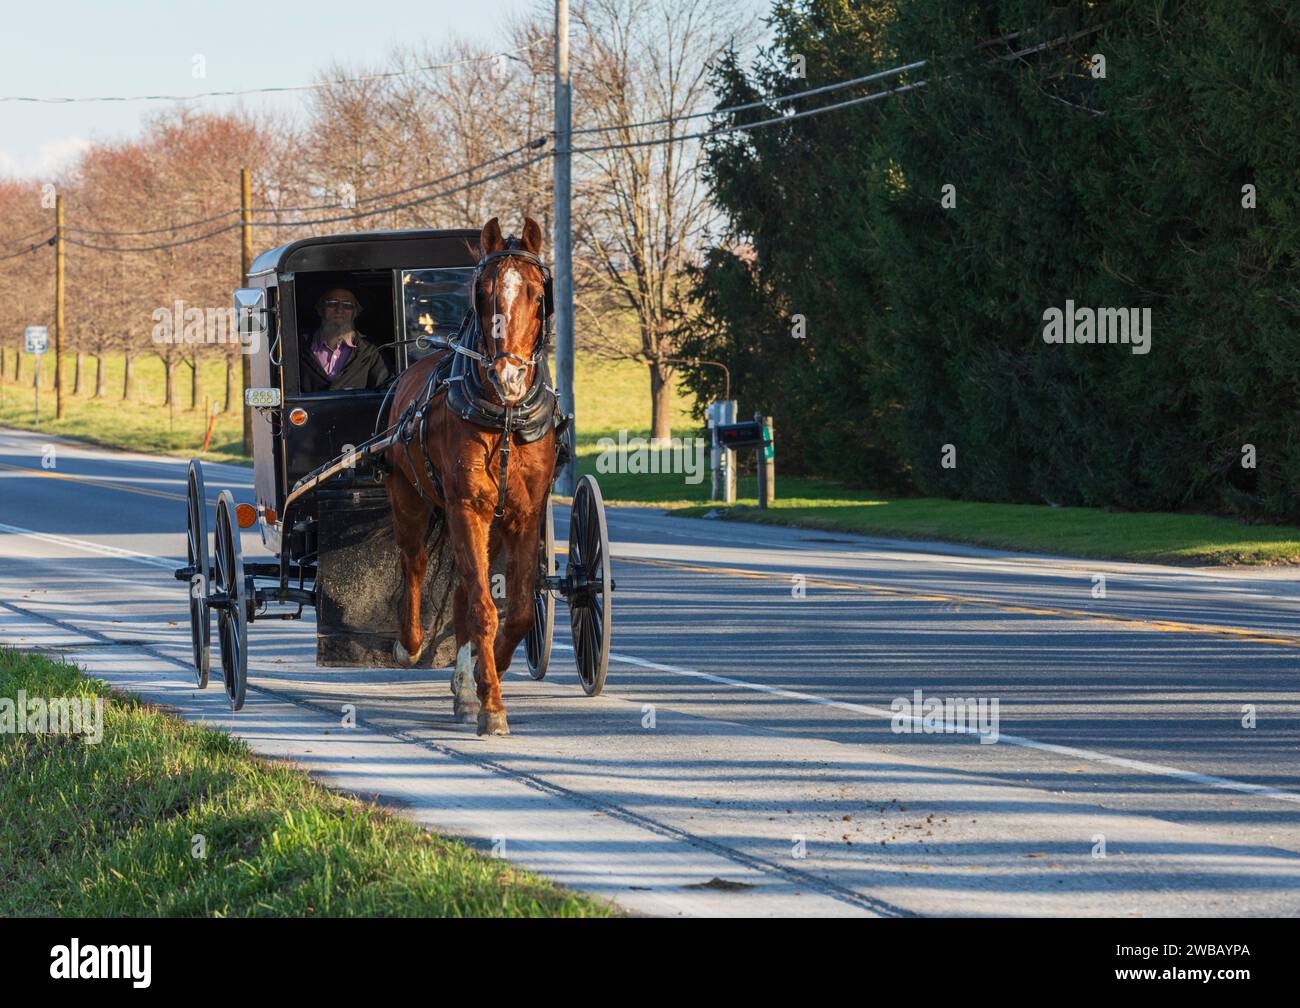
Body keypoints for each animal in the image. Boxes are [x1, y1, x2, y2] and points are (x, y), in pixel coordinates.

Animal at [384, 216, 558, 736]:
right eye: (482, 294)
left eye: (538, 295)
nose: (508, 378)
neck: (505, 417)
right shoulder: (466, 505)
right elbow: (485, 610)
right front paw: (493, 706)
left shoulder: (524, 515)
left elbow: (515, 611)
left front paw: (487, 677)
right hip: (410, 497)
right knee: (415, 563)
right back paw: (410, 644)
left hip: (489, 524)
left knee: (463, 587)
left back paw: (465, 685)